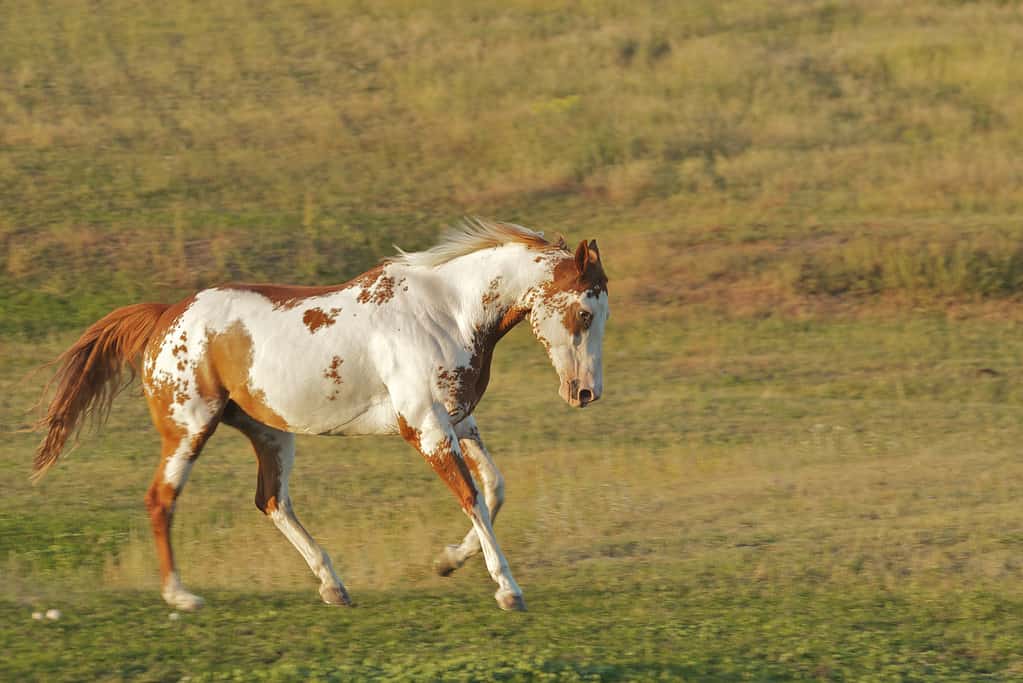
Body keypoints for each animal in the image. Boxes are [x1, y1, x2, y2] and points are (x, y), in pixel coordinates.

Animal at [31, 219, 605, 613]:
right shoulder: (424, 428)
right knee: (161, 500)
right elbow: (471, 497)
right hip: (188, 429)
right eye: (584, 312)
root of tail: (165, 317)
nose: (585, 393)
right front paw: (507, 589)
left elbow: (494, 489)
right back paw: (180, 596)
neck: (445, 314)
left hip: (270, 434)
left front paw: (448, 561)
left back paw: (333, 585)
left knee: (272, 501)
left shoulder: (459, 421)